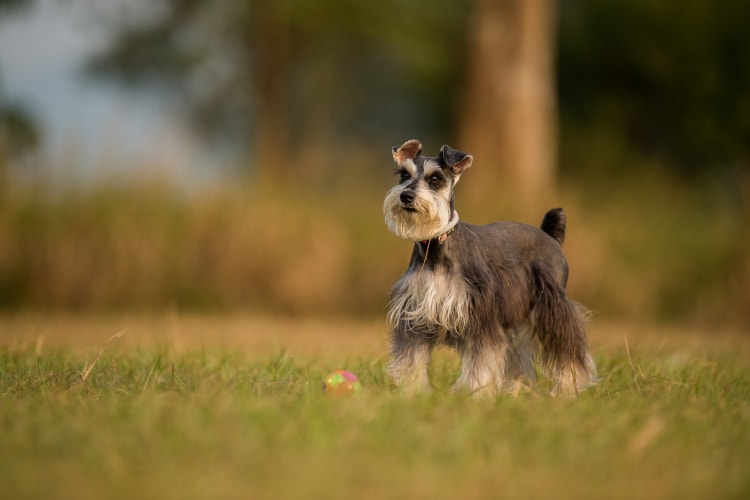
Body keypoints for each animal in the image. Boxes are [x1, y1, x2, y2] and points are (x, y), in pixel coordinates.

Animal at [384, 139, 596, 396]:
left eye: (435, 179)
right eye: (404, 175)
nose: (406, 196)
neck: (436, 247)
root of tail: (548, 235)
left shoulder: (481, 318)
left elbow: (481, 361)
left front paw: (476, 392)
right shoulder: (414, 318)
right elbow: (411, 359)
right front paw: (412, 392)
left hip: (553, 304)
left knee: (570, 348)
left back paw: (569, 387)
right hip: (518, 319)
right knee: (519, 355)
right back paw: (516, 390)